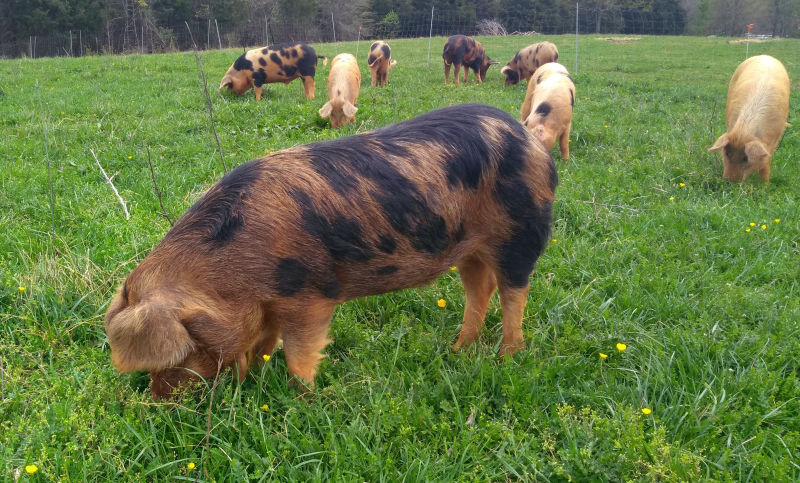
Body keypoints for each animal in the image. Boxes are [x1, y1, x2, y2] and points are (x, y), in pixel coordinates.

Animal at [104, 103, 557, 399]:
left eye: (184, 347)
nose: (159, 399)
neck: (231, 274)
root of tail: (529, 139)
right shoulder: (268, 305)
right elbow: (262, 344)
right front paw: (250, 383)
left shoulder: (310, 295)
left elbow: (300, 353)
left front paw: (302, 399)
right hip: (468, 249)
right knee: (479, 289)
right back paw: (457, 350)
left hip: (521, 231)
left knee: (515, 291)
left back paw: (507, 358)